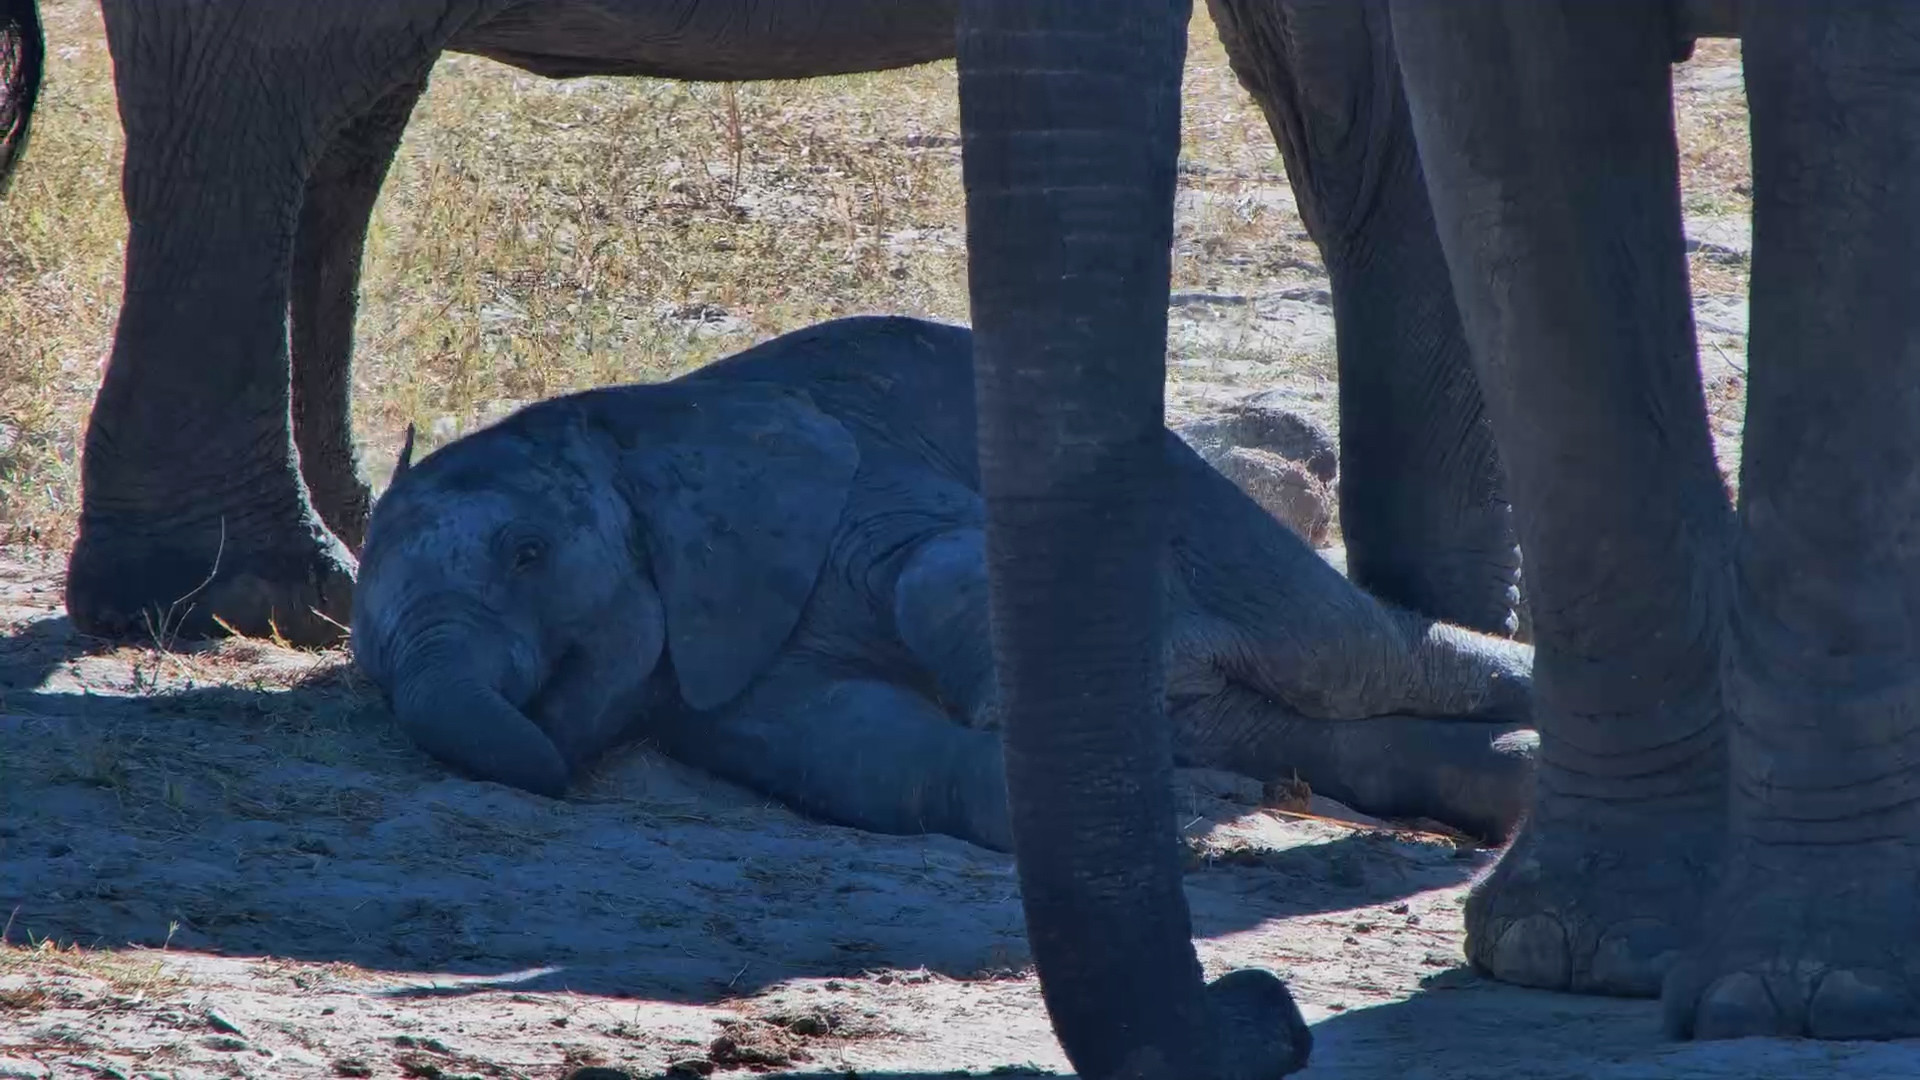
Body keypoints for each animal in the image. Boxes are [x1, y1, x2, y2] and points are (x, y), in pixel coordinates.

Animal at [350, 314, 1539, 848]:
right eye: (365, 670)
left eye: (529, 555)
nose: (557, 774)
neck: (633, 420)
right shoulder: (722, 669)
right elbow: (855, 748)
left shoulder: (856, 471)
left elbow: (941, 566)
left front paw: (1025, 720)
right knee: (1323, 729)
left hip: (1211, 519)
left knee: (1350, 653)